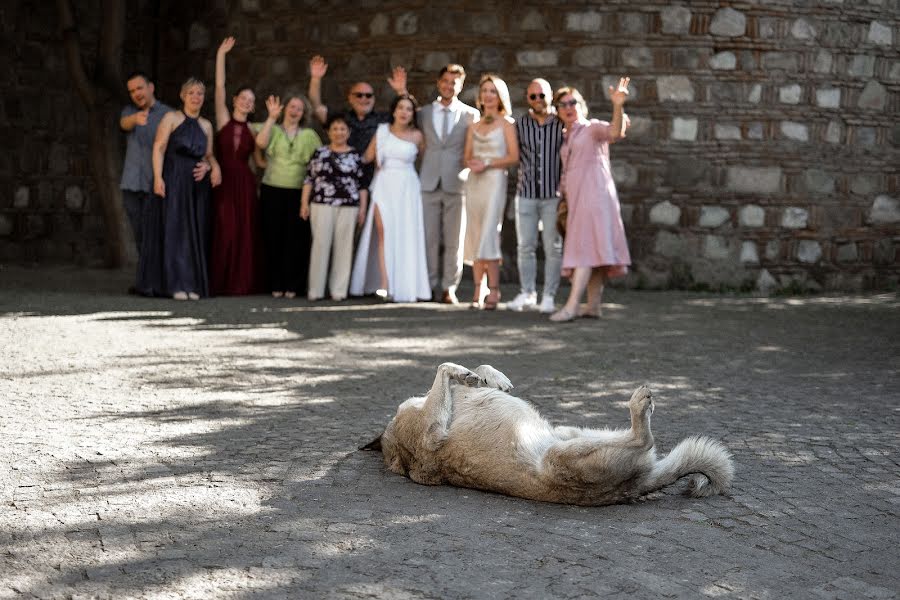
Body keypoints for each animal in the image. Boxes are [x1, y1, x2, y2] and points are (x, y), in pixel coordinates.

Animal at [362, 360, 736, 506]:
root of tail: (636, 486)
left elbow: (471, 372)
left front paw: (490, 377)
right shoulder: (431, 434)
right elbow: (443, 368)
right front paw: (465, 374)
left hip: (571, 433)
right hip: (562, 454)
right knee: (644, 438)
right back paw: (640, 403)